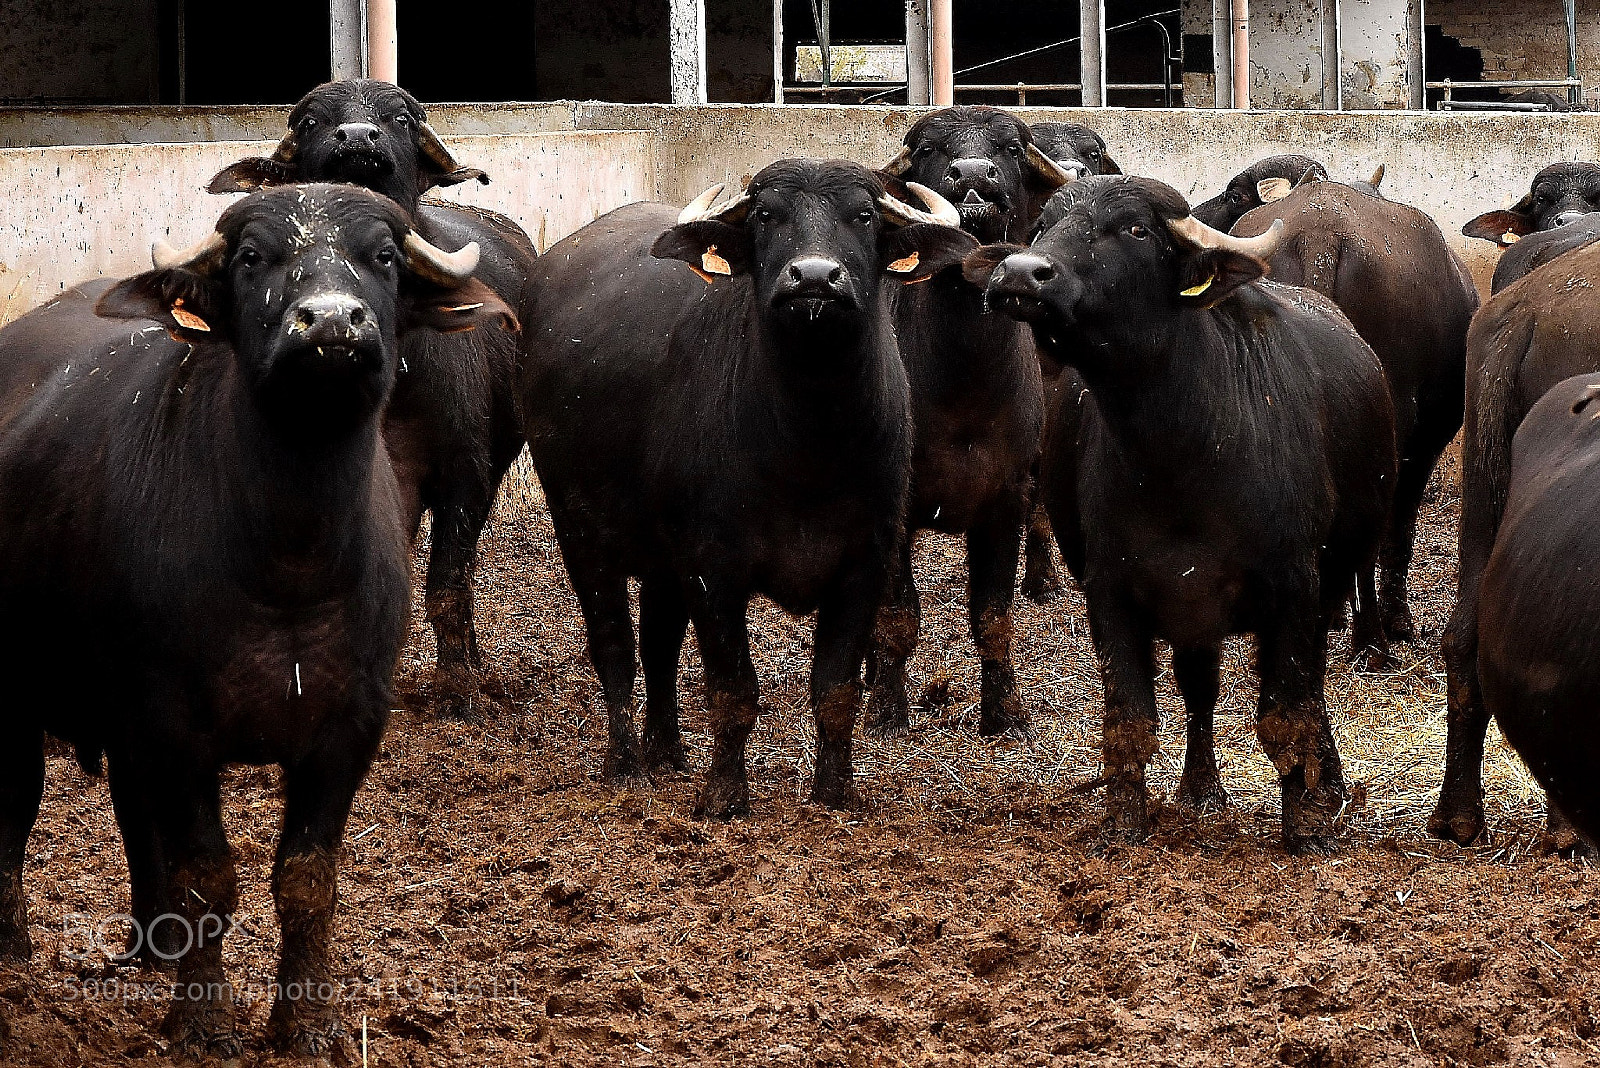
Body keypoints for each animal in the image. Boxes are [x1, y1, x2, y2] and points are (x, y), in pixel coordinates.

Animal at [0, 185, 513, 1056]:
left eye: (383, 256)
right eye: (251, 258)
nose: (332, 322)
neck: (288, 563)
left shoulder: (348, 726)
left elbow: (306, 879)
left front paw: (306, 1022)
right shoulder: (171, 721)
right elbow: (208, 874)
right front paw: (205, 1020)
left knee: (132, 813)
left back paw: (153, 949)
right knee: (12, 817)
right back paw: (15, 952)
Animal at [211, 79, 537, 717]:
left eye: (402, 119)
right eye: (310, 120)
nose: (358, 137)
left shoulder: (463, 470)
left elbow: (447, 586)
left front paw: (457, 688)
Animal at [519, 160, 974, 814]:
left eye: (864, 215)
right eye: (766, 215)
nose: (814, 277)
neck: (810, 440)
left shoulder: (865, 560)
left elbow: (835, 686)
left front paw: (835, 791)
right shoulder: (713, 565)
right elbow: (731, 686)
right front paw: (725, 794)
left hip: (661, 558)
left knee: (658, 642)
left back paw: (667, 752)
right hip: (580, 529)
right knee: (615, 648)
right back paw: (626, 761)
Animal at [969, 176, 1395, 853]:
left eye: (1136, 229)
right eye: (1046, 224)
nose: (1020, 273)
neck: (1181, 453)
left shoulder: (1292, 588)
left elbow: (1286, 714)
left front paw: (1305, 823)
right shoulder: (1113, 591)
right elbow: (1131, 720)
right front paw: (1124, 821)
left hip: (1325, 586)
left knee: (1311, 689)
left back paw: (1326, 783)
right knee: (1200, 689)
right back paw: (1202, 787)